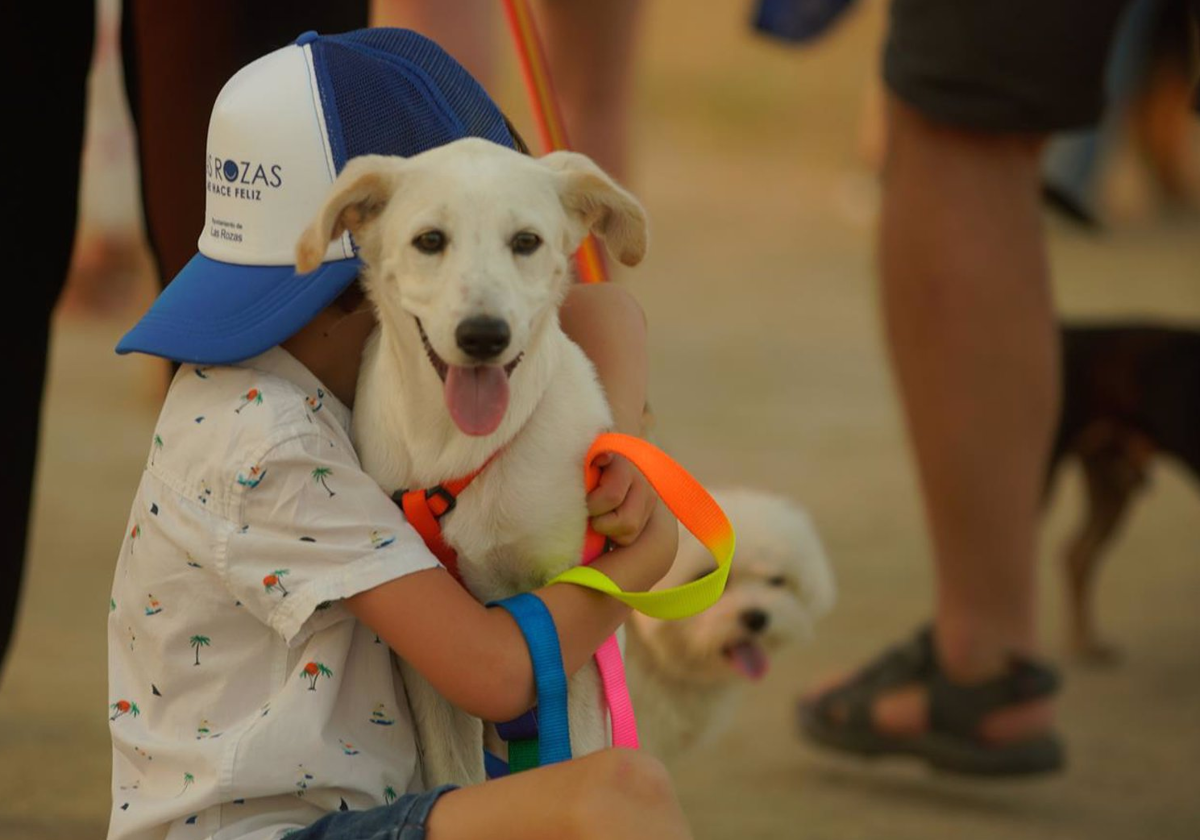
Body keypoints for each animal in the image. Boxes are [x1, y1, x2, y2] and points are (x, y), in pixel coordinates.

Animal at [295, 136, 648, 787]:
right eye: (431, 240)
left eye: (527, 241)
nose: (484, 335)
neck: (459, 451)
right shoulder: (439, 657)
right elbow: (454, 772)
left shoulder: (569, 630)